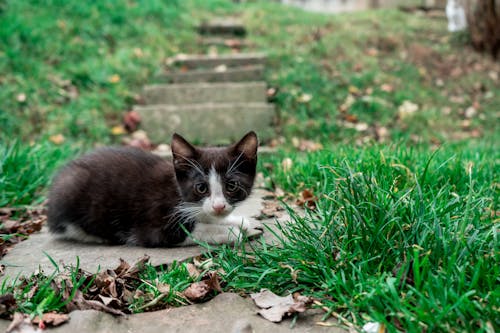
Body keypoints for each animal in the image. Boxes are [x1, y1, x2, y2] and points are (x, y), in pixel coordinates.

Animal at [47, 131, 262, 245]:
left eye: (231, 185)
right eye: (201, 188)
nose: (219, 206)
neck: (179, 193)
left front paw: (237, 220)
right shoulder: (151, 226)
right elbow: (186, 232)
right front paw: (231, 232)